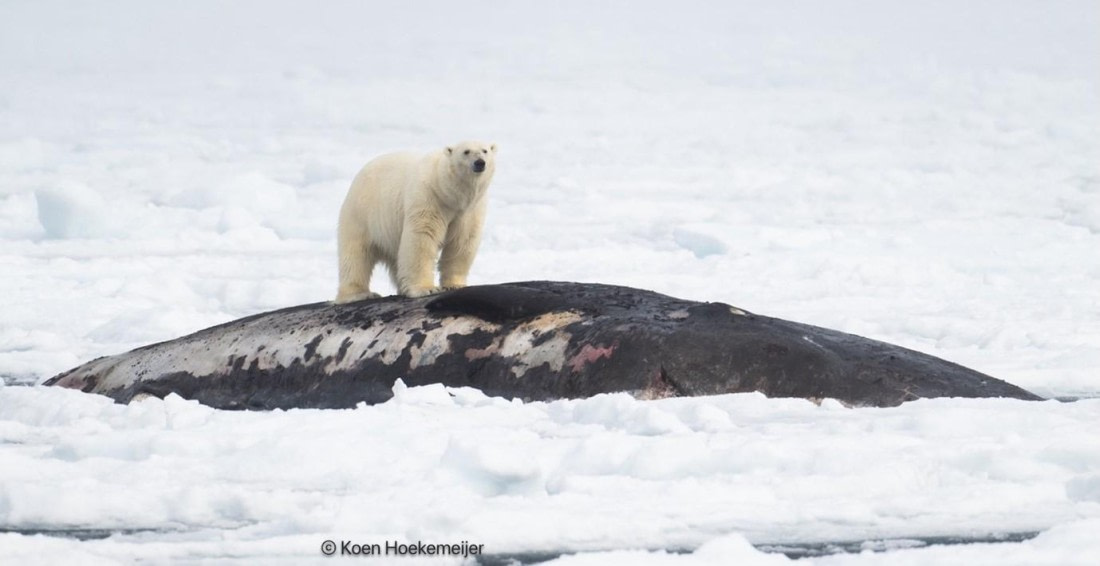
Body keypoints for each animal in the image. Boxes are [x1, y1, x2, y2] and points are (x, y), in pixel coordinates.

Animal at [335, 141, 497, 303]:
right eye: (466, 151)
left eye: (485, 151)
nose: (479, 162)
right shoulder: (429, 198)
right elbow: (422, 238)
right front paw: (426, 289)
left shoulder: (469, 210)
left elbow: (461, 242)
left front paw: (454, 285)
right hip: (362, 213)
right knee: (356, 254)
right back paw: (359, 294)